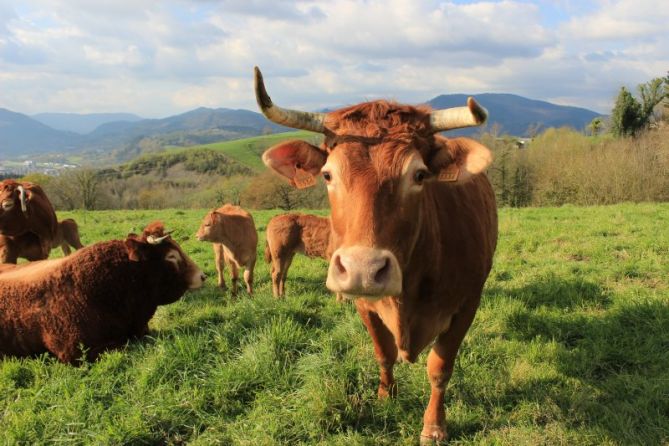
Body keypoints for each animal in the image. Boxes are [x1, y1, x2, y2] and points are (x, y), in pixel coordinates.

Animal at [250, 68, 496, 444]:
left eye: (419, 175)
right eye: (327, 174)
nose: (362, 270)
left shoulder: (467, 304)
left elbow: (440, 367)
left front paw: (434, 426)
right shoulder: (364, 305)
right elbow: (384, 353)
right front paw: (385, 396)